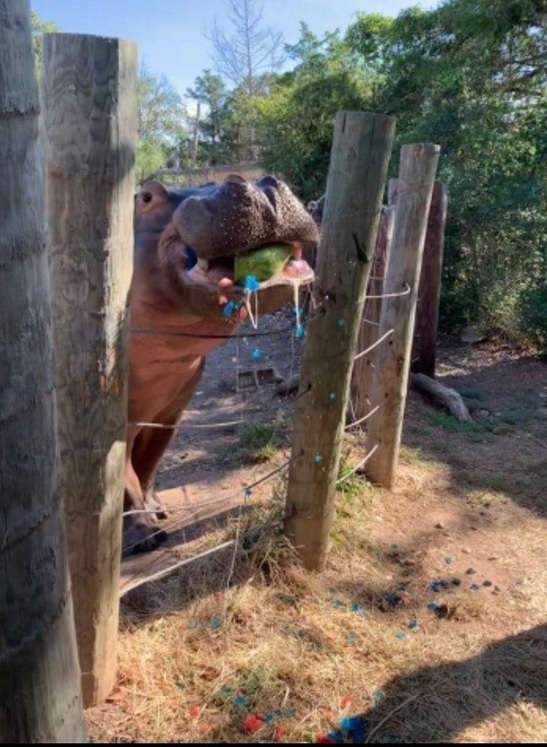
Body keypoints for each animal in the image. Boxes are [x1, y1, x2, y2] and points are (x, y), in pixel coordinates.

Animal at [124, 174, 320, 554]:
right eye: (147, 196)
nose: (260, 184)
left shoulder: (170, 411)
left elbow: (149, 465)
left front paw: (158, 511)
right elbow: (124, 480)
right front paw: (144, 538)